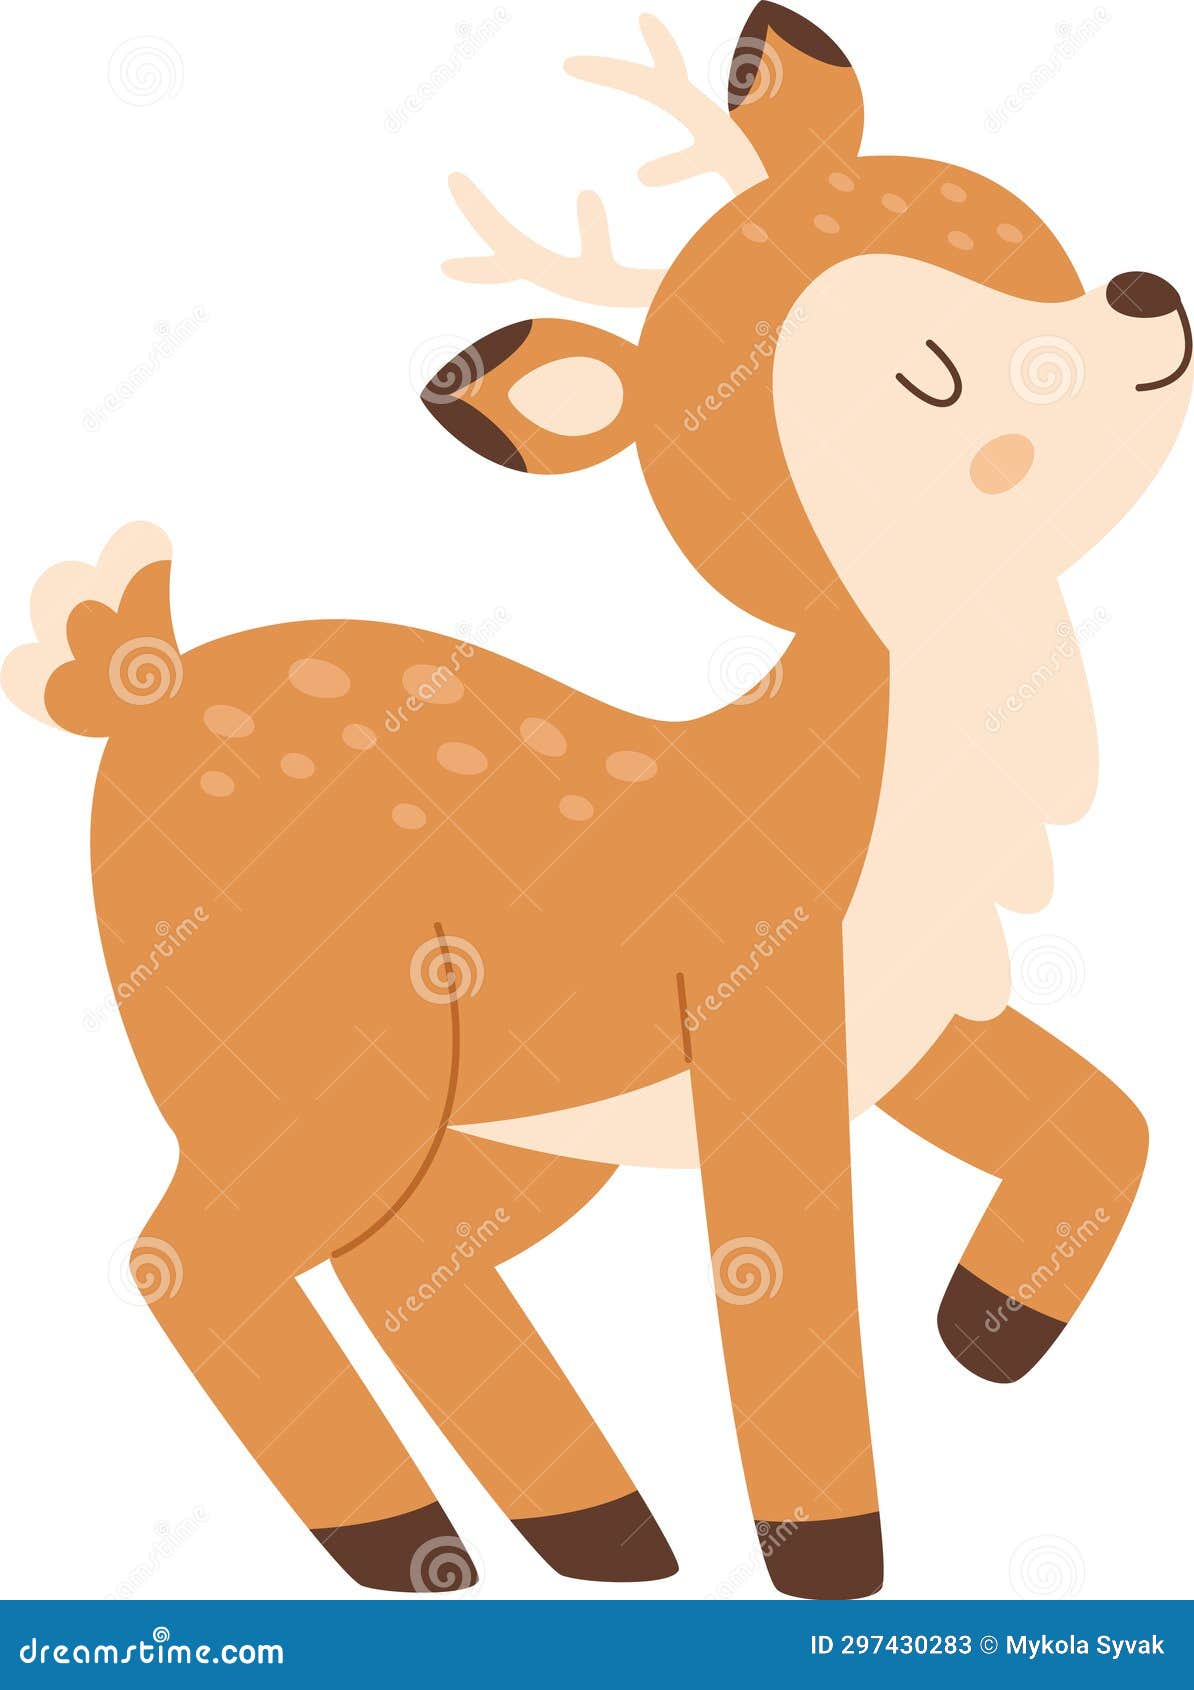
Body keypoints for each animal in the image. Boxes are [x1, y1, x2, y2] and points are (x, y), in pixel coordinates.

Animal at [4, 5, 1189, 1601]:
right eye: (930, 373)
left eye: (1035, 242)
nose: (1144, 296)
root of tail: (144, 685)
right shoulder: (764, 1014)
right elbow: (781, 1283)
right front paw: (829, 1554)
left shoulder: (924, 1018)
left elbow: (1110, 1123)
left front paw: (985, 1330)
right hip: (318, 1071)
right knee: (184, 1255)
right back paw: (412, 1539)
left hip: (515, 1121)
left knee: (401, 1260)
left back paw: (595, 1531)